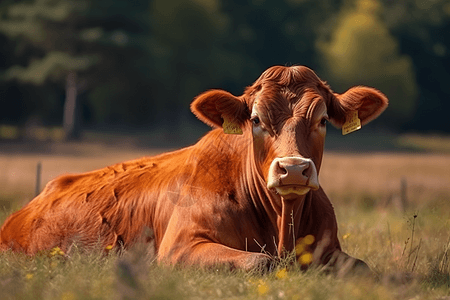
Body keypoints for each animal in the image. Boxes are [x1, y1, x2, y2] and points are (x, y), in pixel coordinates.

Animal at [0, 67, 386, 274]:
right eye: (256, 120)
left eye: (322, 120)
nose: (292, 169)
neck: (282, 228)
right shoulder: (179, 247)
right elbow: (259, 262)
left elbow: (362, 267)